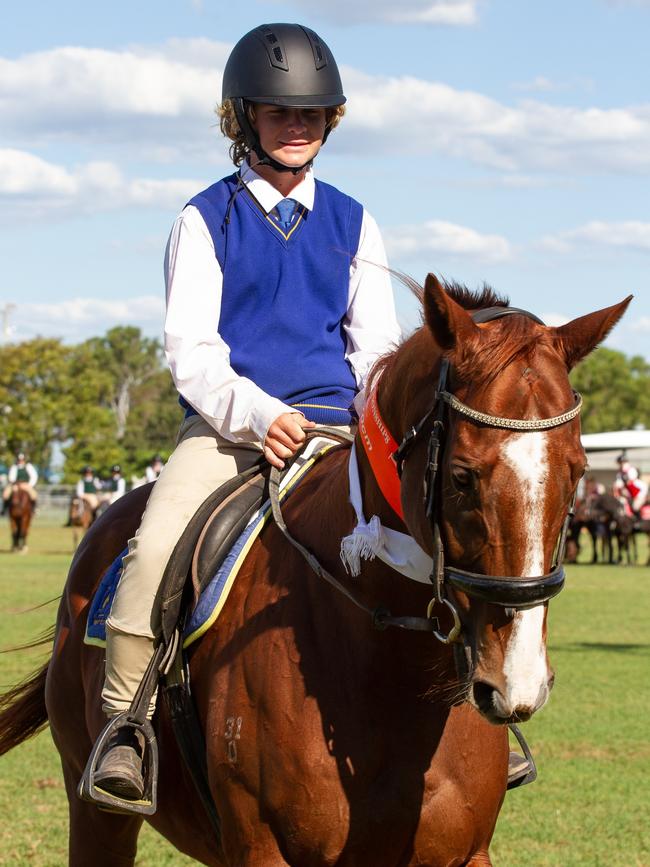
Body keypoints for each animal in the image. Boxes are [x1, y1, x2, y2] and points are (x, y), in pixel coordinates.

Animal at [0, 280, 632, 867]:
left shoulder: (466, 853)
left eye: (577, 472)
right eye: (461, 476)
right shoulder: (262, 851)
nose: (517, 685)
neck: (391, 680)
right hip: (94, 812)